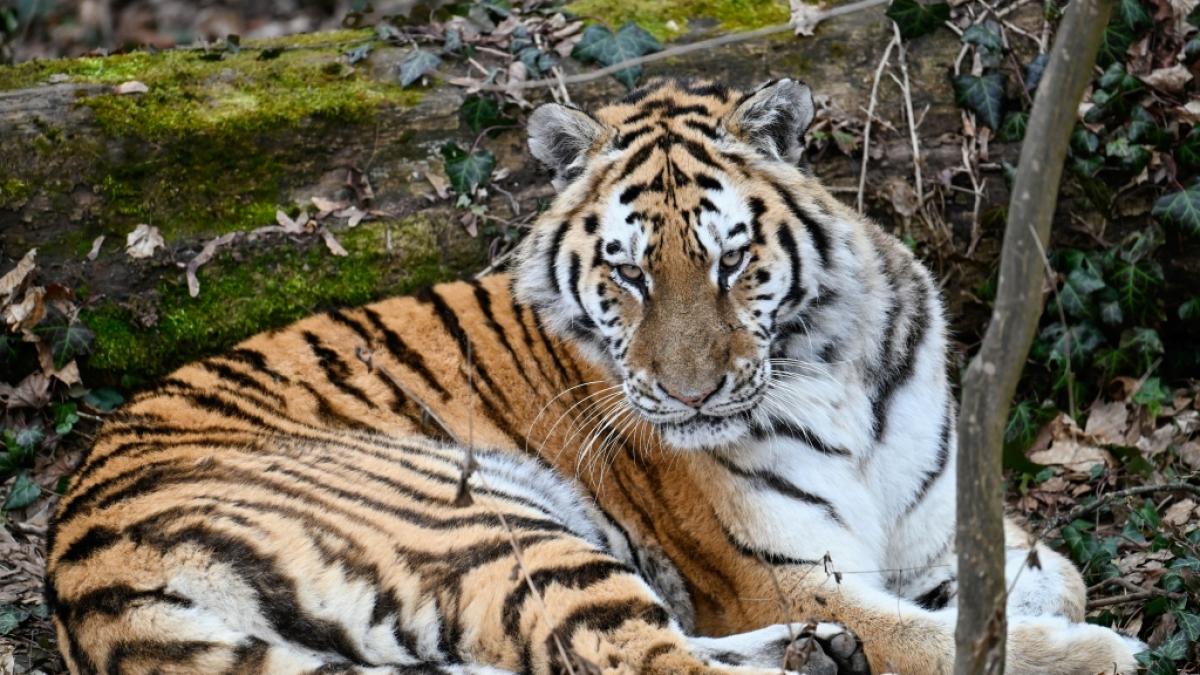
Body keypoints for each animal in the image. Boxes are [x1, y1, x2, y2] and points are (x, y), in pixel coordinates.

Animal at [44, 77, 1145, 675]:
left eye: (730, 259)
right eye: (627, 270)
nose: (691, 397)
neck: (834, 360)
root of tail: (75, 562)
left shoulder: (936, 526)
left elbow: (1058, 578)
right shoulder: (784, 570)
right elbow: (947, 637)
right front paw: (1096, 652)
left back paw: (811, 653)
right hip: (481, 519)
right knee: (635, 653)